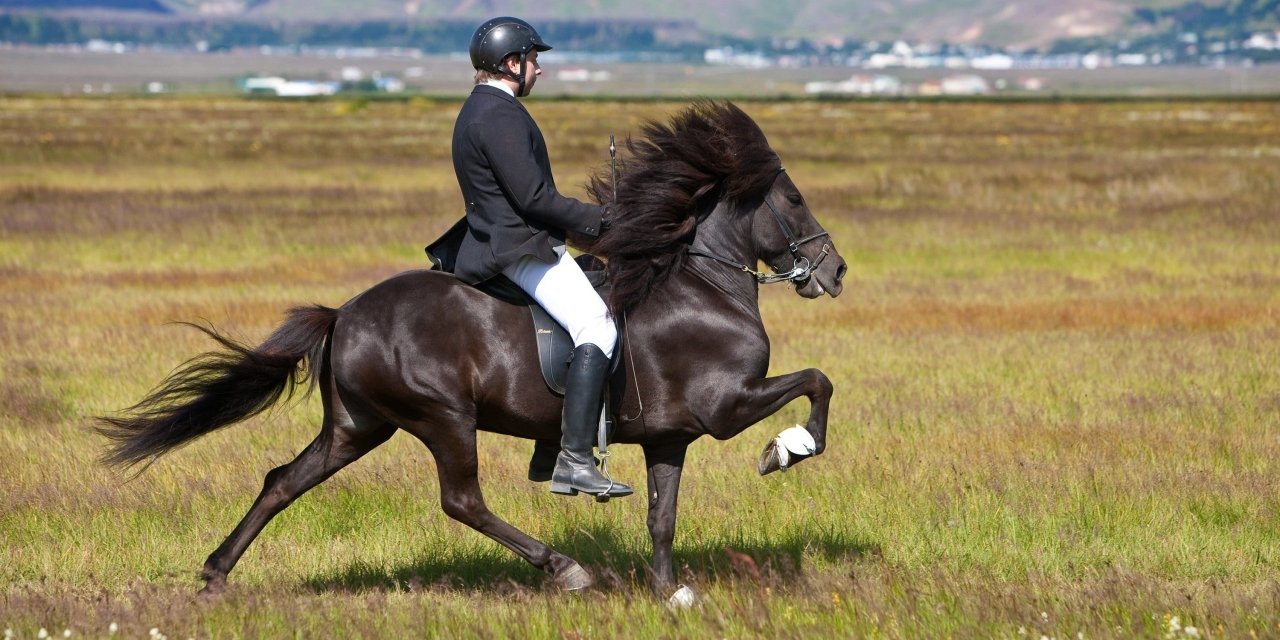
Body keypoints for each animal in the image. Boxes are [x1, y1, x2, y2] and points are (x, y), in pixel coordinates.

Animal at [94, 98, 844, 599]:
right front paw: (787, 449)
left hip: (359, 425)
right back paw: (564, 568)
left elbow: (663, 518)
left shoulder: (671, 436)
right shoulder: (725, 408)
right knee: (462, 501)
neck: (699, 286)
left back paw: (215, 574)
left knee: (284, 479)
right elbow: (817, 381)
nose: (834, 273)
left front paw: (670, 594)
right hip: (442, 418)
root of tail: (346, 314)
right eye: (795, 200)